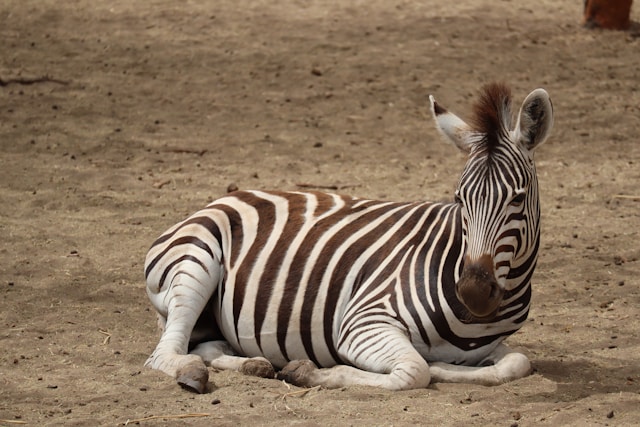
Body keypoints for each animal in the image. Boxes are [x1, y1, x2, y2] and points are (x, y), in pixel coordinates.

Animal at [144, 82, 553, 393]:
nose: (473, 293)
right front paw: (311, 371)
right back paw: (193, 373)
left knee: (207, 346)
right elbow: (414, 371)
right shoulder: (362, 324)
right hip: (195, 266)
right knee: (165, 354)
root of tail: (229, 195)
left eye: (517, 198)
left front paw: (446, 367)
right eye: (458, 198)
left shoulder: (493, 346)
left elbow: (517, 362)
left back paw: (254, 364)